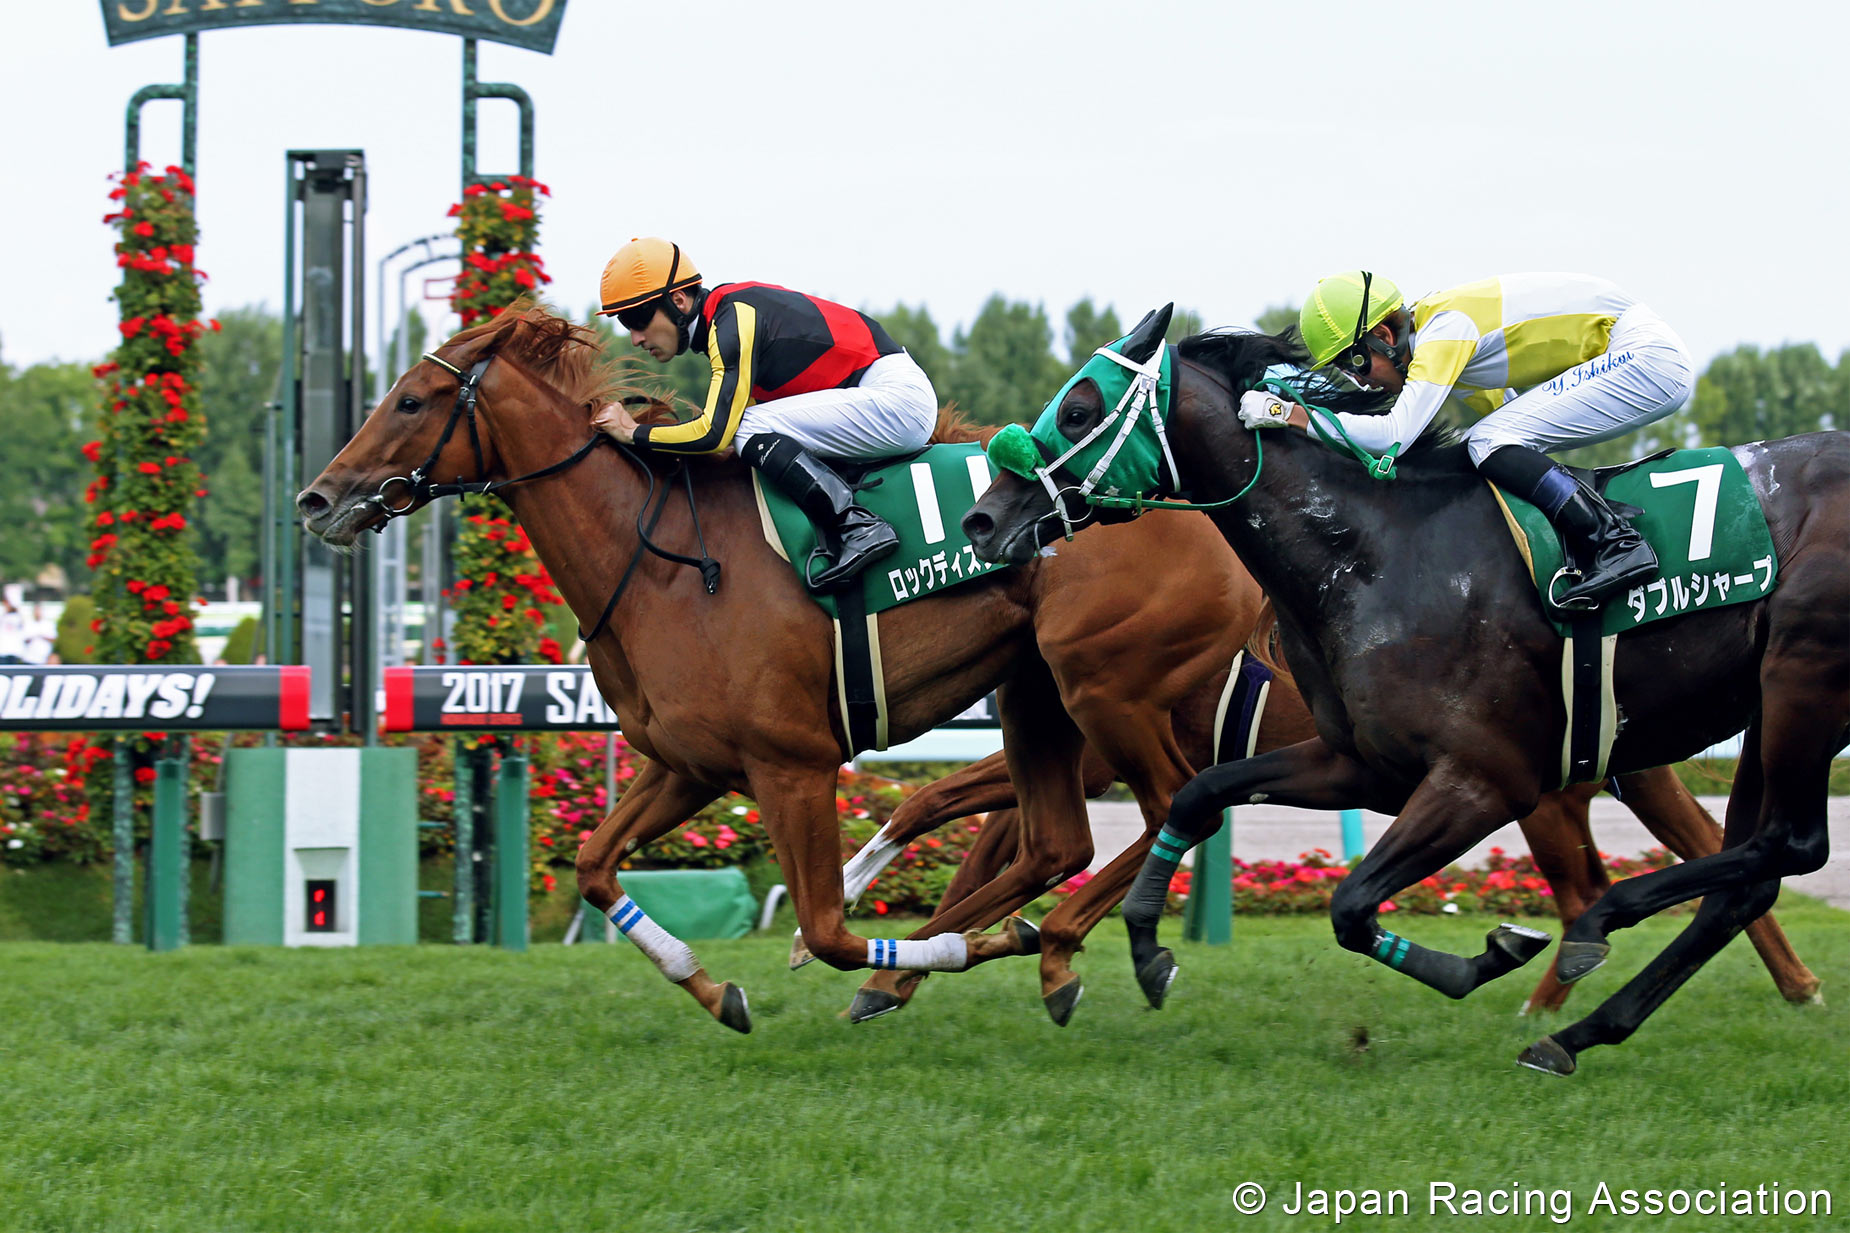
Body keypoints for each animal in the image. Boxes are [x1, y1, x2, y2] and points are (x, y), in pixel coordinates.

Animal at [962, 309, 1842, 1073]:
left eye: (1079, 407)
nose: (981, 519)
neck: (1380, 553)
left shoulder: (1486, 778)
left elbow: (1350, 903)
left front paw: (1491, 953)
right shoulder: (1360, 762)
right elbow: (1198, 794)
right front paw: (1147, 948)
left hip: (1802, 681)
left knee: (1788, 845)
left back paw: (1599, 931)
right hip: (1768, 711)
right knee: (1747, 878)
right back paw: (1579, 1030)